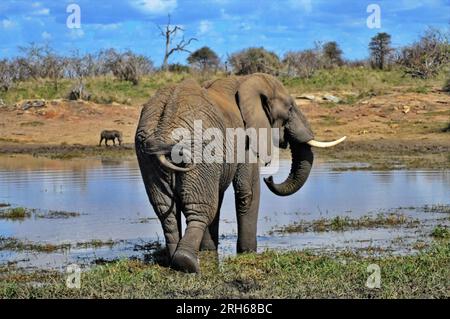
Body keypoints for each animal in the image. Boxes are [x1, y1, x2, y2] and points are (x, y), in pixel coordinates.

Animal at [134, 74, 344, 274]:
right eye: (290, 108)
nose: (269, 178)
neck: (245, 81)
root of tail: (166, 122)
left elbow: (219, 195)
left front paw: (210, 250)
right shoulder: (245, 139)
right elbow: (248, 192)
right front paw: (248, 252)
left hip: (148, 157)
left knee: (166, 210)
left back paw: (173, 260)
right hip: (198, 151)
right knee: (201, 208)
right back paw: (187, 263)